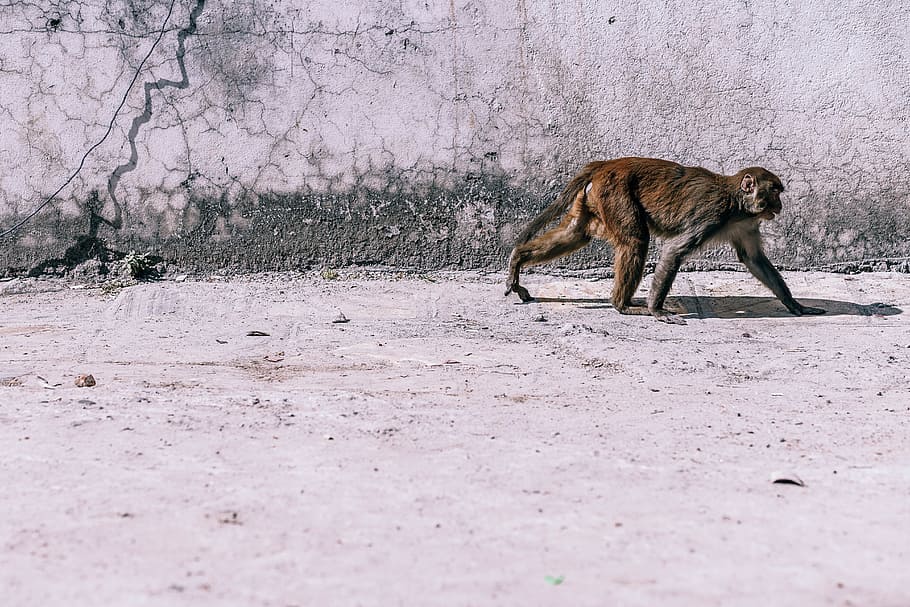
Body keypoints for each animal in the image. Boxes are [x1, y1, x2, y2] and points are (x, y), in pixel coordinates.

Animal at [505, 157, 825, 324]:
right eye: (775, 192)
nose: (780, 206)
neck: (736, 204)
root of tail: (606, 164)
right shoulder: (712, 213)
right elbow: (675, 250)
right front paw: (657, 310)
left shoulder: (745, 224)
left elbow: (753, 259)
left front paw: (795, 305)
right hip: (615, 193)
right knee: (636, 241)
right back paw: (622, 305)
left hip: (594, 199)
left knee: (576, 233)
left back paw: (518, 258)